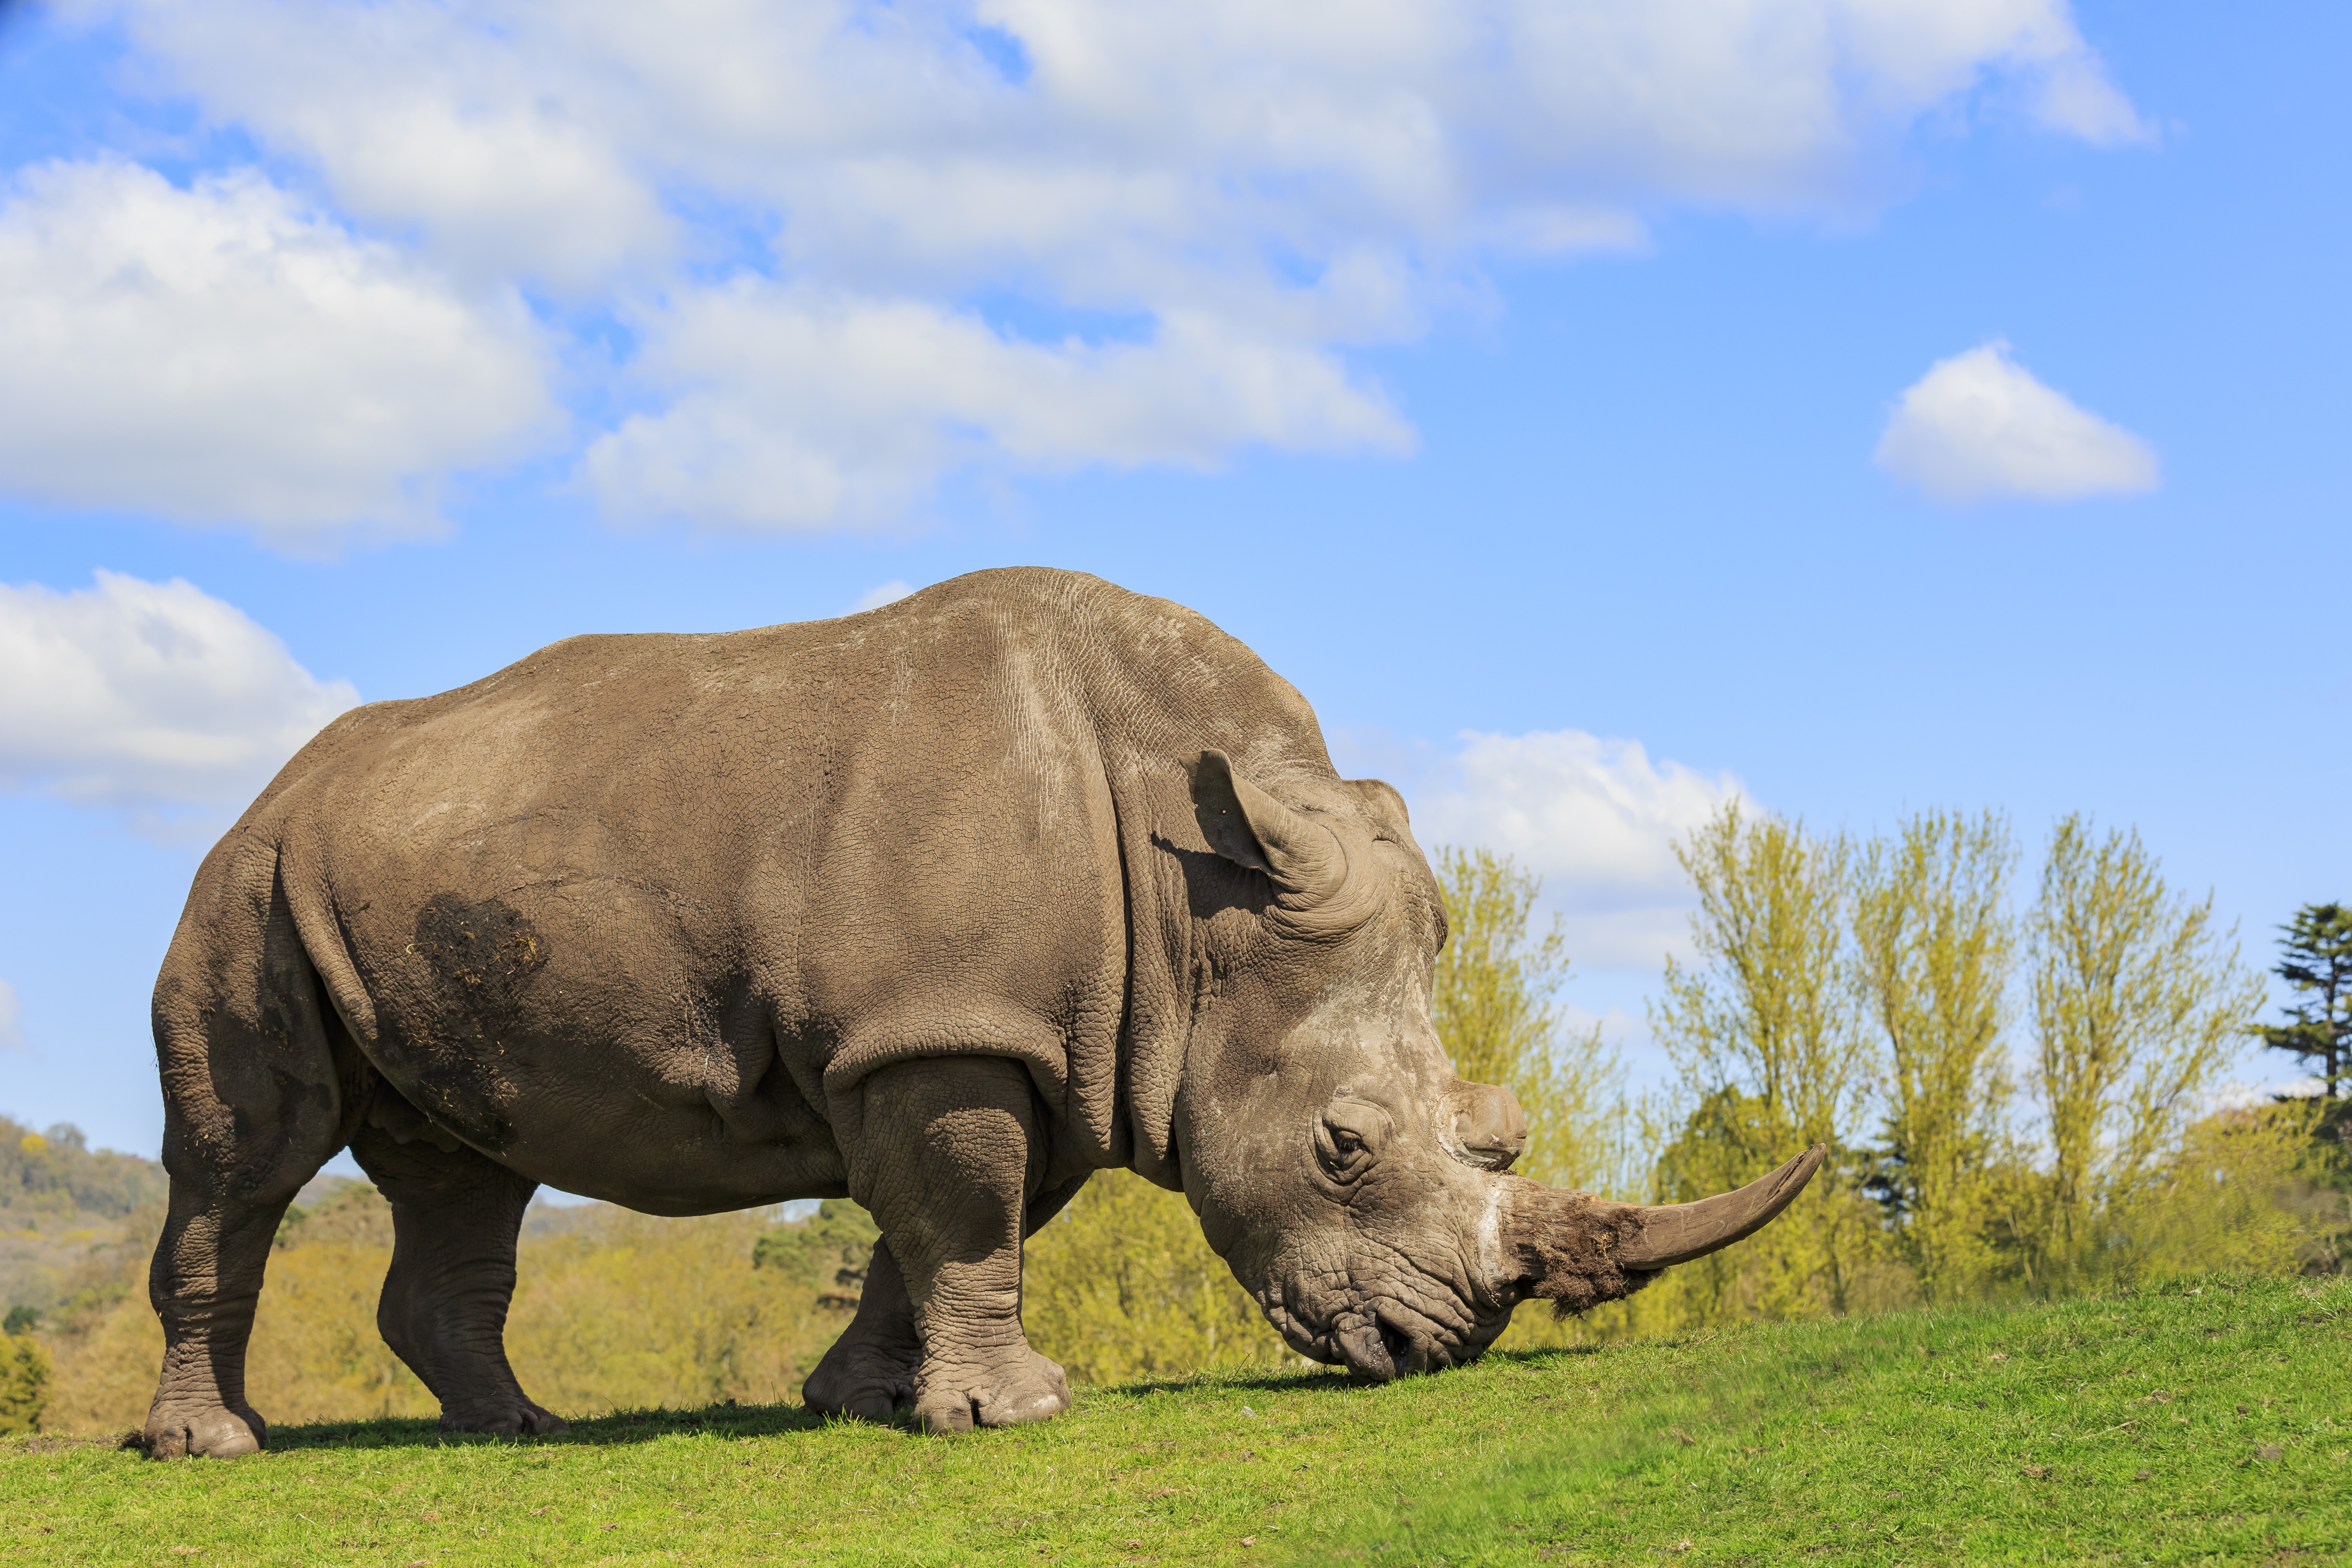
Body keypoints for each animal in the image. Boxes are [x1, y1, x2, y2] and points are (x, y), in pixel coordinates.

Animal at [142, 566, 1820, 1455]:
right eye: (1341, 1146)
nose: (1446, 1341)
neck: (1199, 897)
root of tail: (274, 782)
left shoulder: (1037, 1035)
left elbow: (945, 1224)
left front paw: (867, 1404)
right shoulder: (946, 1025)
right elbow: (964, 1211)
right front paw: (1013, 1417)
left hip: (381, 873)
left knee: (466, 1167)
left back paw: (519, 1433)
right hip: (246, 880)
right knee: (248, 1157)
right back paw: (212, 1447)